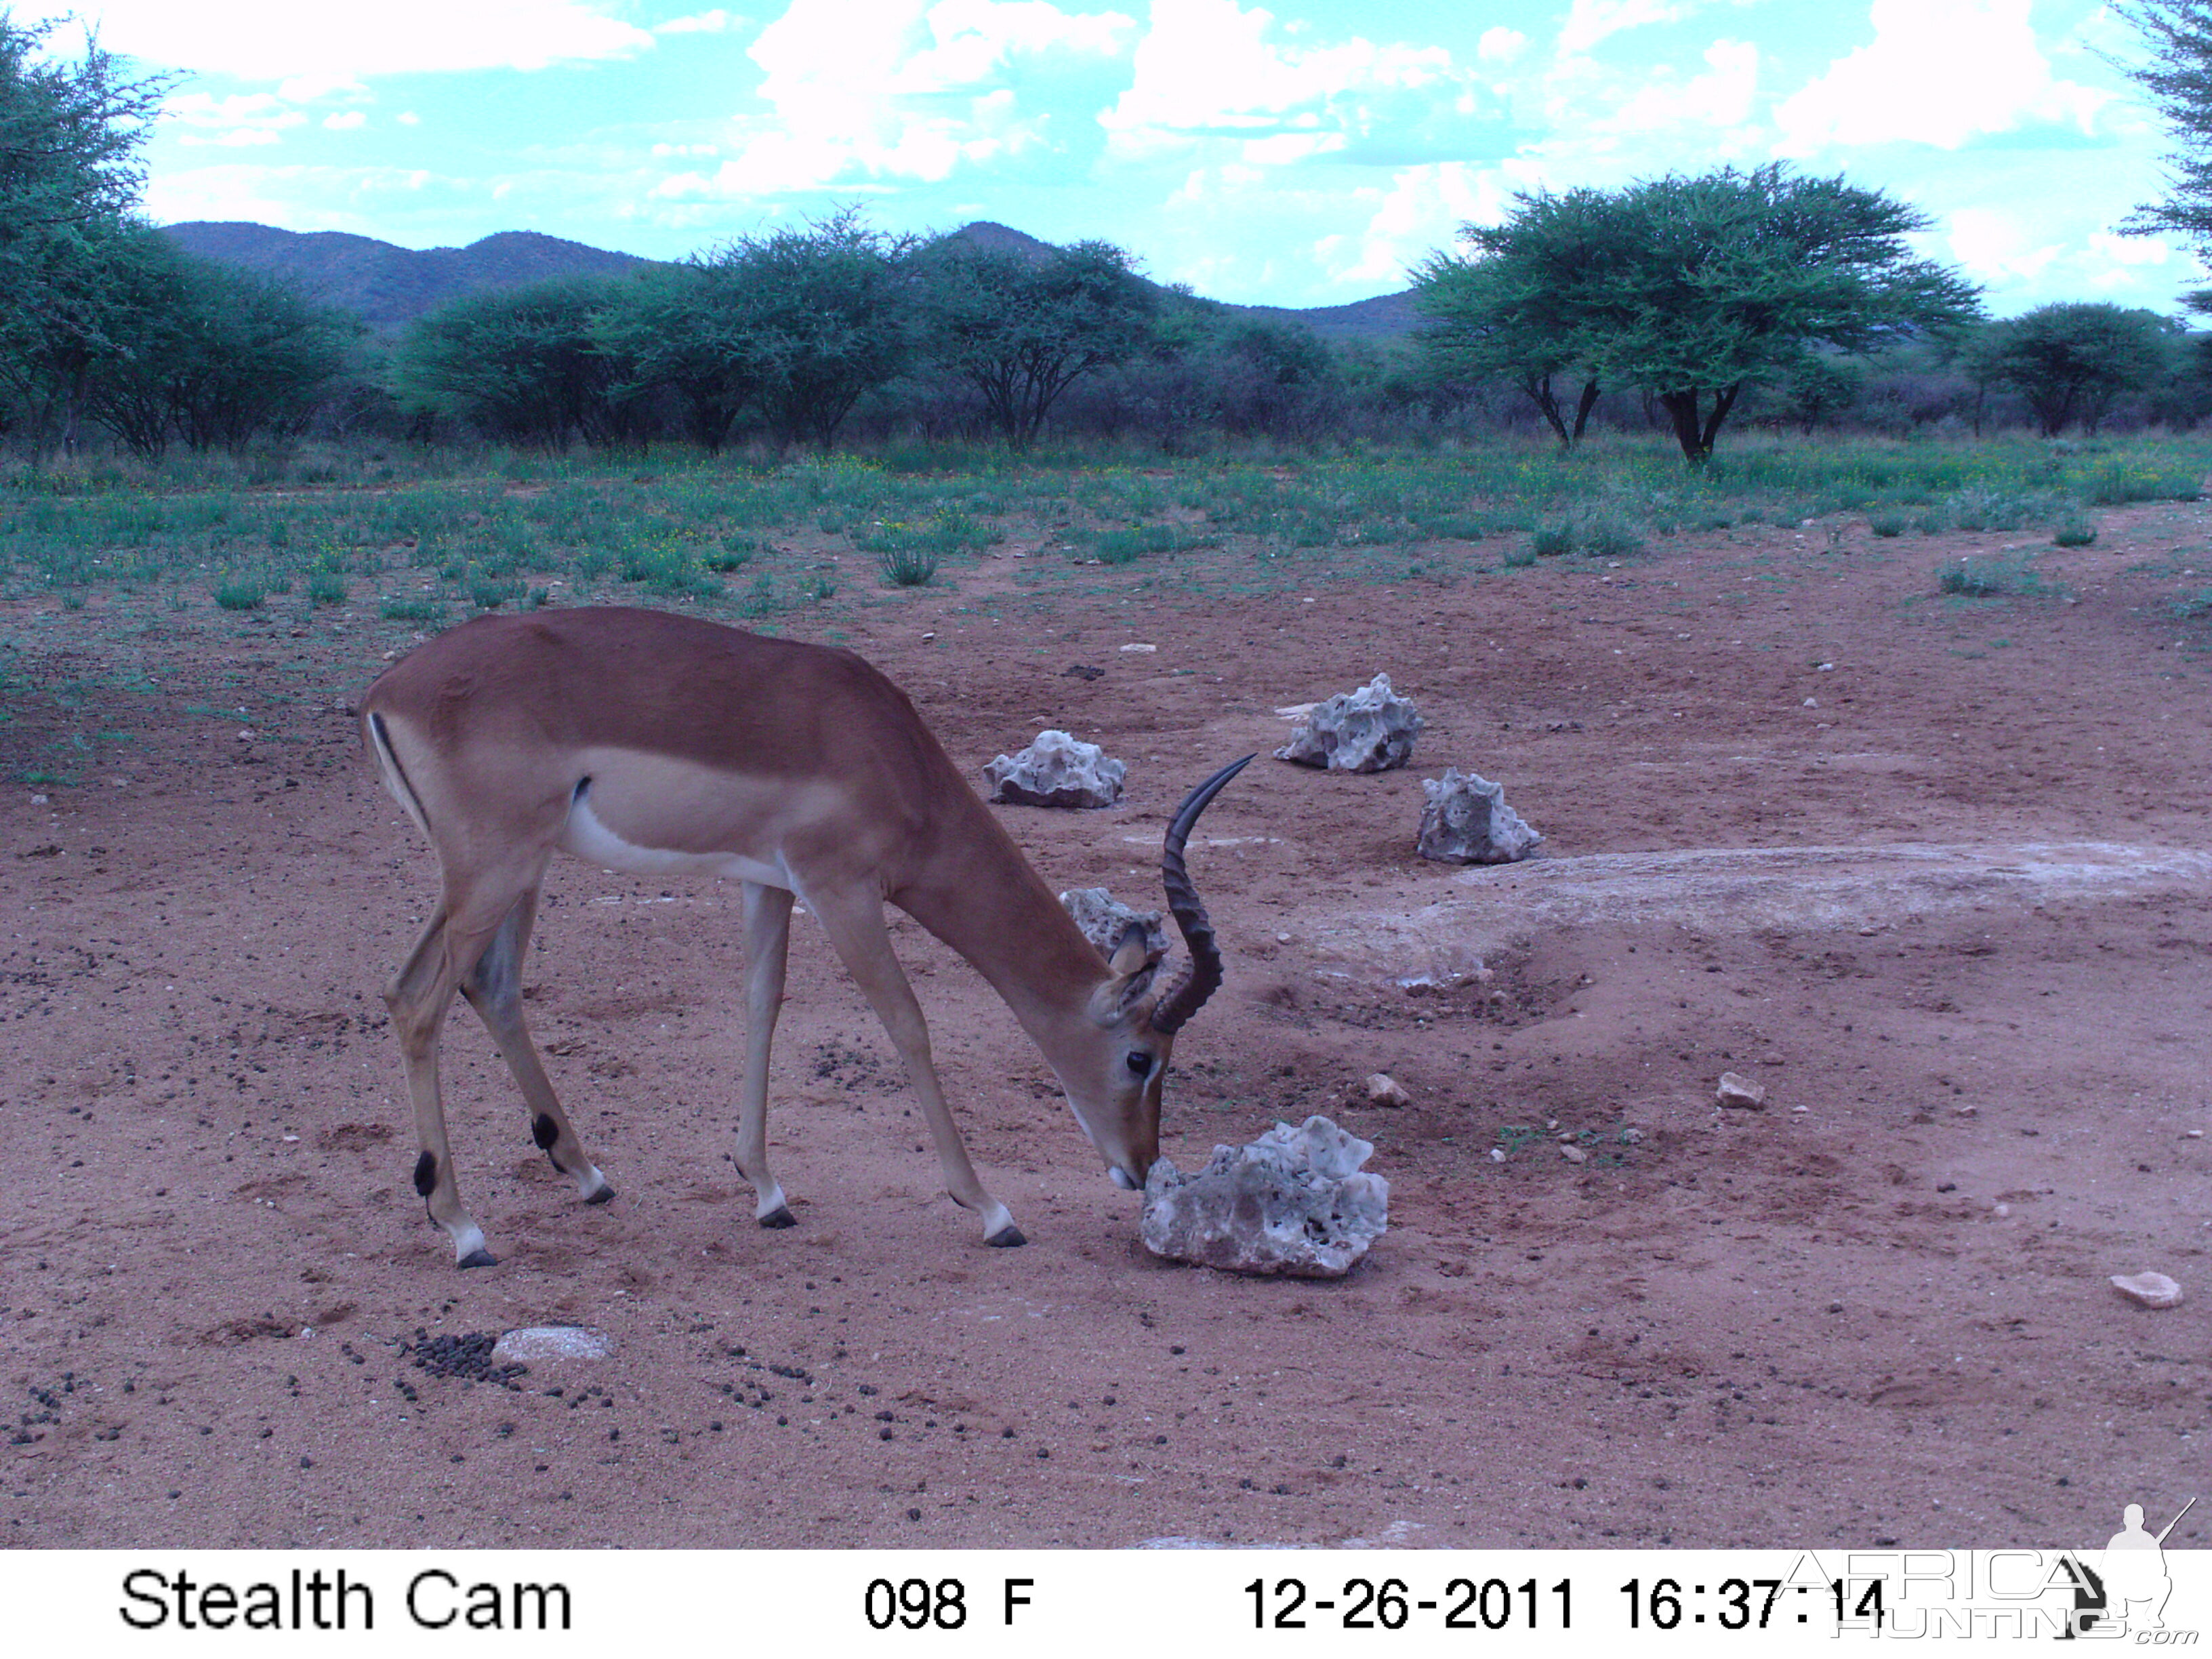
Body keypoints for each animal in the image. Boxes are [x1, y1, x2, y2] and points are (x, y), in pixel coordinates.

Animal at [363, 610, 1247, 1274]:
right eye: (1141, 1057)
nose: (1141, 1168)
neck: (889, 751)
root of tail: (385, 691)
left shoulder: (771, 884)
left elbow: (764, 1005)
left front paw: (766, 1192)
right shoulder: (841, 890)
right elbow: (908, 1026)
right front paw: (992, 1210)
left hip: (515, 872)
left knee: (489, 986)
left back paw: (587, 1176)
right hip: (494, 870)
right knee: (414, 1000)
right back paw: (464, 1228)